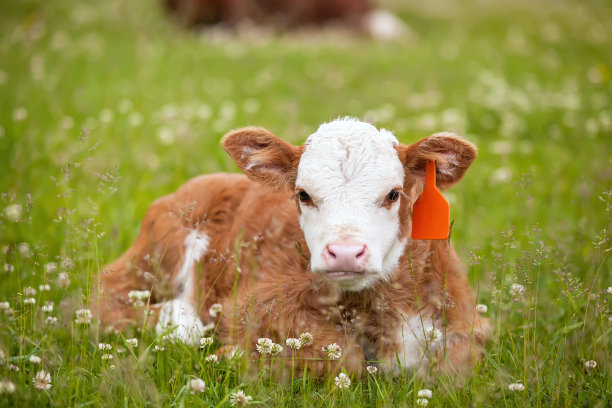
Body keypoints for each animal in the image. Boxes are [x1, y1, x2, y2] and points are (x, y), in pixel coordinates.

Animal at [94, 117, 488, 376]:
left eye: (393, 194)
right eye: (303, 194)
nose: (345, 253)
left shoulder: (468, 324)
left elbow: (455, 364)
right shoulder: (256, 303)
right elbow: (344, 358)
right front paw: (233, 354)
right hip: (154, 257)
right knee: (107, 298)